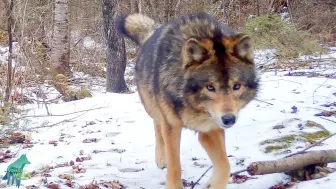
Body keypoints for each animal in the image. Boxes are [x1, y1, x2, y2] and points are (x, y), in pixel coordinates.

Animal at [117, 12, 260, 188]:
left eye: (236, 86)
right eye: (210, 87)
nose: (228, 119)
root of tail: (151, 33)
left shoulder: (210, 129)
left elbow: (225, 165)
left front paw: (212, 184)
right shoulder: (172, 126)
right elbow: (174, 166)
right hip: (152, 107)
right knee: (157, 126)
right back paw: (161, 159)